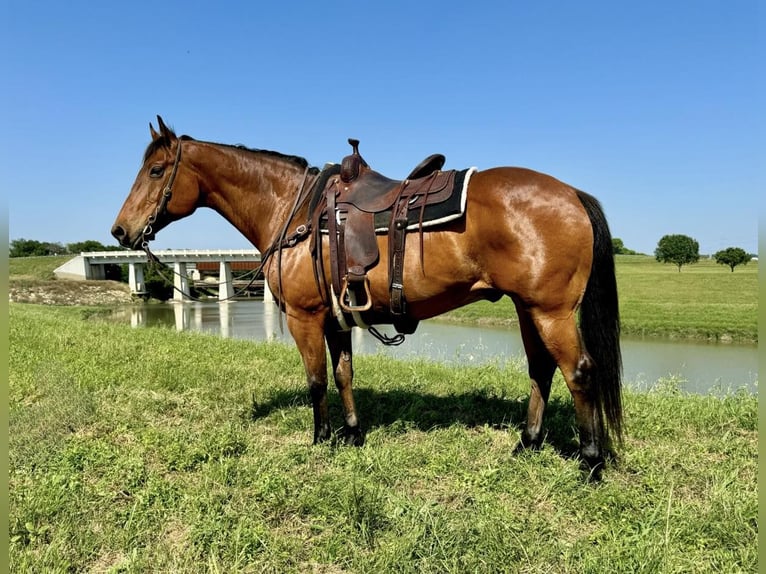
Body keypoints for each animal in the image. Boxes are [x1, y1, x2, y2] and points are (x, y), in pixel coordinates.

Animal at [112, 118, 624, 476]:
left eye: (156, 170)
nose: (120, 231)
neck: (293, 210)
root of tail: (571, 193)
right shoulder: (335, 317)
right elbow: (343, 375)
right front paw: (352, 434)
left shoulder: (304, 317)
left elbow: (316, 380)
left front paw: (320, 438)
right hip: (527, 309)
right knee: (541, 370)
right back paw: (526, 443)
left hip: (550, 312)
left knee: (579, 372)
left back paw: (590, 461)